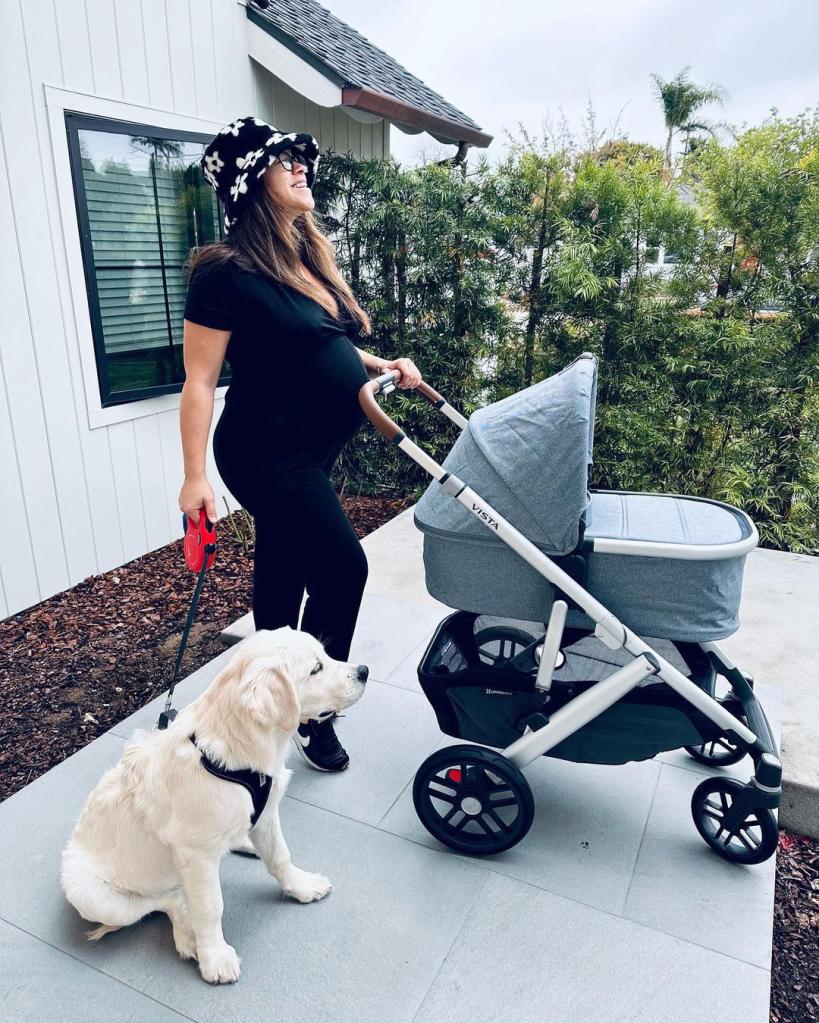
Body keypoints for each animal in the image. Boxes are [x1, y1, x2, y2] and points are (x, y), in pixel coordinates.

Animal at [57, 626, 364, 986]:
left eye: (325, 655)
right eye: (315, 669)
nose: (363, 671)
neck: (238, 752)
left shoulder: (266, 814)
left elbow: (280, 856)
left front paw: (301, 886)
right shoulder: (195, 856)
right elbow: (209, 907)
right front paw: (214, 957)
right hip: (92, 895)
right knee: (166, 900)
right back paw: (188, 937)